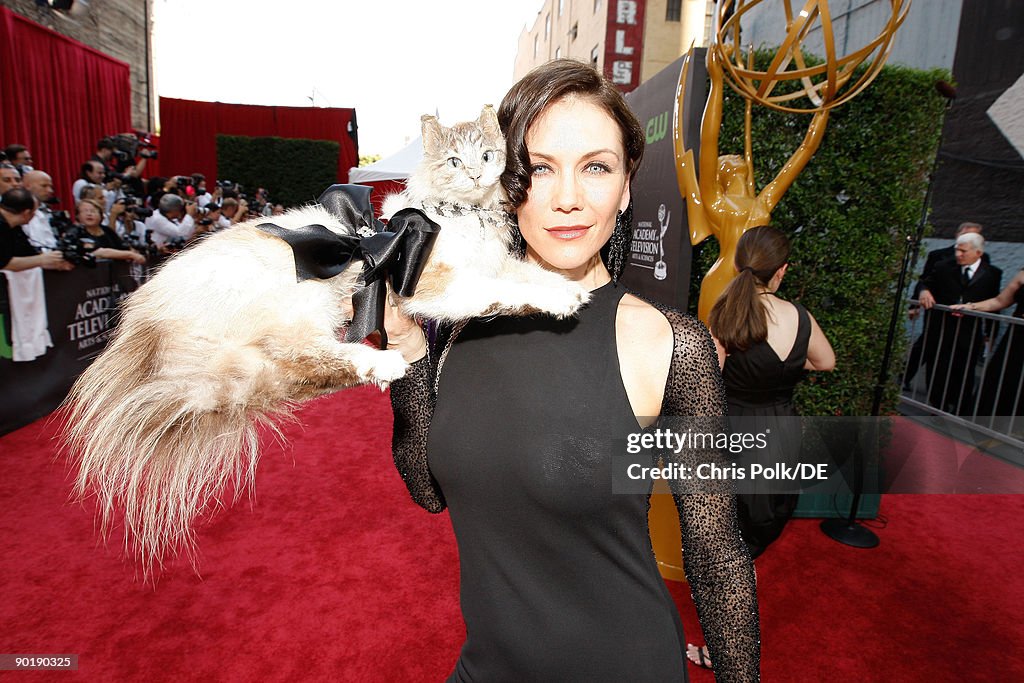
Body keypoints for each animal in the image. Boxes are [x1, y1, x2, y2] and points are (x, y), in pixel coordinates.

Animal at [382, 104, 593, 323]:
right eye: (454, 162)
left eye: (487, 156)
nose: (475, 175)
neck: (471, 212)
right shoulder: (434, 282)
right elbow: (507, 289)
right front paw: (560, 298)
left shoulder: (493, 263)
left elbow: (533, 272)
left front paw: (572, 288)